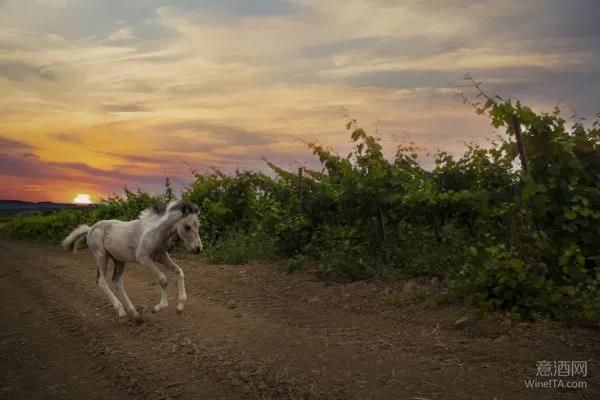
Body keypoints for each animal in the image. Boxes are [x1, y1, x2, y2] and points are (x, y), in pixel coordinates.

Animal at [62, 200, 204, 322]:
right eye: (187, 226)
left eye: (198, 225)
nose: (198, 249)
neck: (155, 232)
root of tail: (90, 228)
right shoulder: (144, 259)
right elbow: (163, 279)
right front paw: (158, 307)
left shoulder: (162, 256)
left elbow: (179, 272)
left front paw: (180, 307)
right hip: (101, 256)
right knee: (102, 281)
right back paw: (121, 311)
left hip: (119, 260)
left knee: (117, 282)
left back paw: (135, 315)